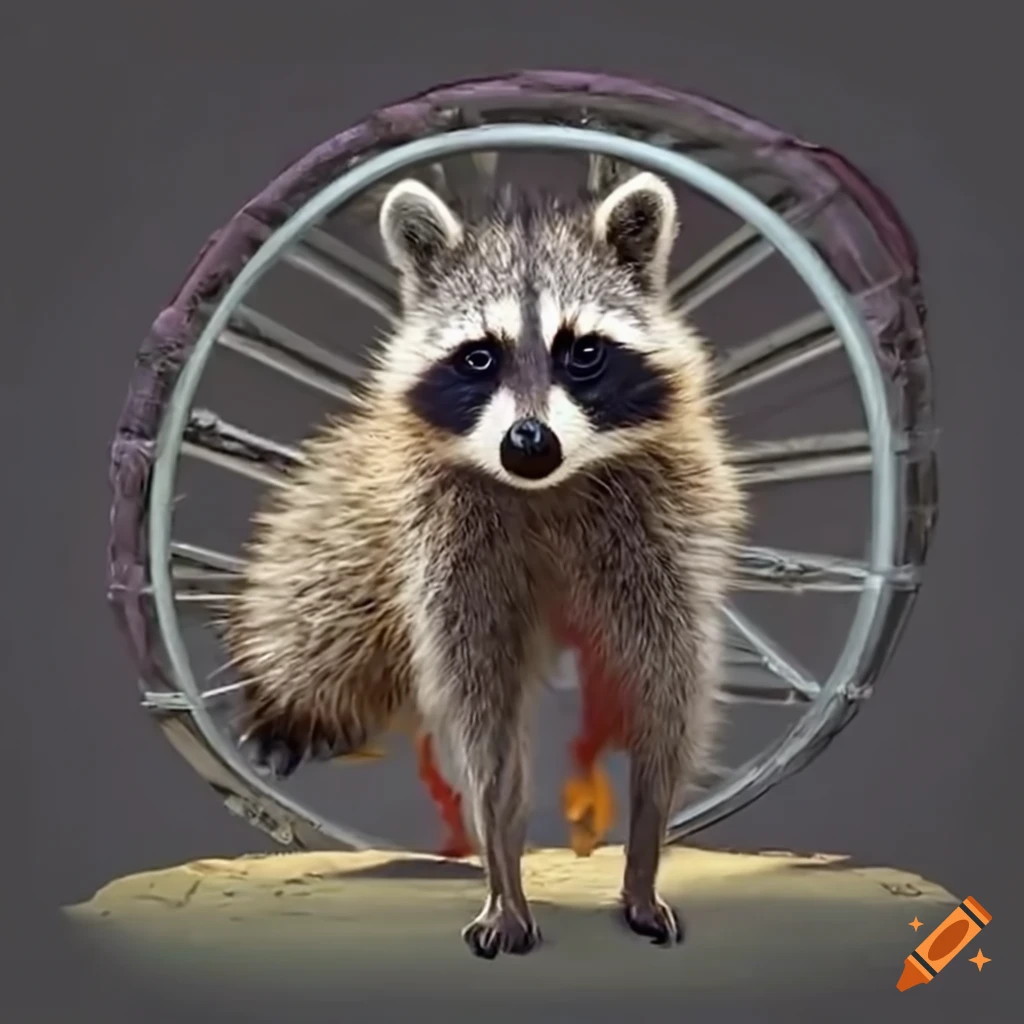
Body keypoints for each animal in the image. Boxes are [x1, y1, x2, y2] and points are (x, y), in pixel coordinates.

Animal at [223, 169, 746, 958]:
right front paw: (503, 871)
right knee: (324, 588)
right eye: (479, 356)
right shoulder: (445, 539)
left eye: (582, 352)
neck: (545, 488)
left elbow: (667, 695)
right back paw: (292, 702)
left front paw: (644, 856)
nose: (529, 443)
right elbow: (482, 717)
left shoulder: (665, 526)